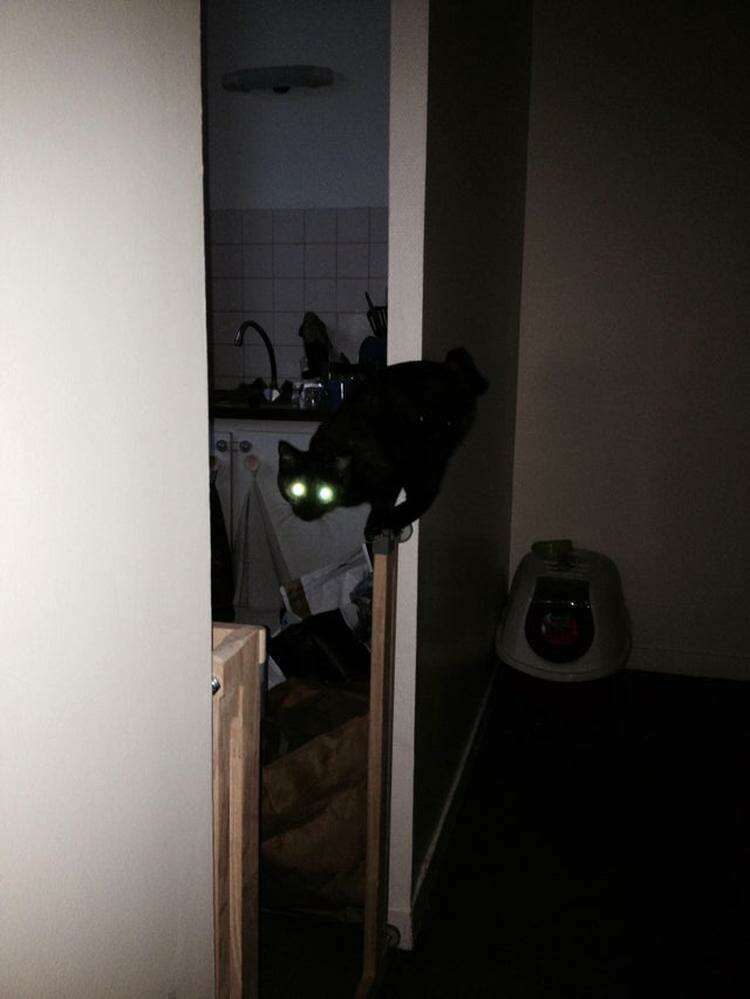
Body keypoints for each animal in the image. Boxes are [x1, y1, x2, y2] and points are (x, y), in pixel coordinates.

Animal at [277, 348, 488, 540]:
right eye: (297, 488)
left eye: (324, 493)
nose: (305, 512)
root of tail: (451, 370)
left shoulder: (389, 477)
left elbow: (382, 505)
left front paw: (374, 527)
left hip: (426, 455)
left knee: (426, 493)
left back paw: (395, 520)